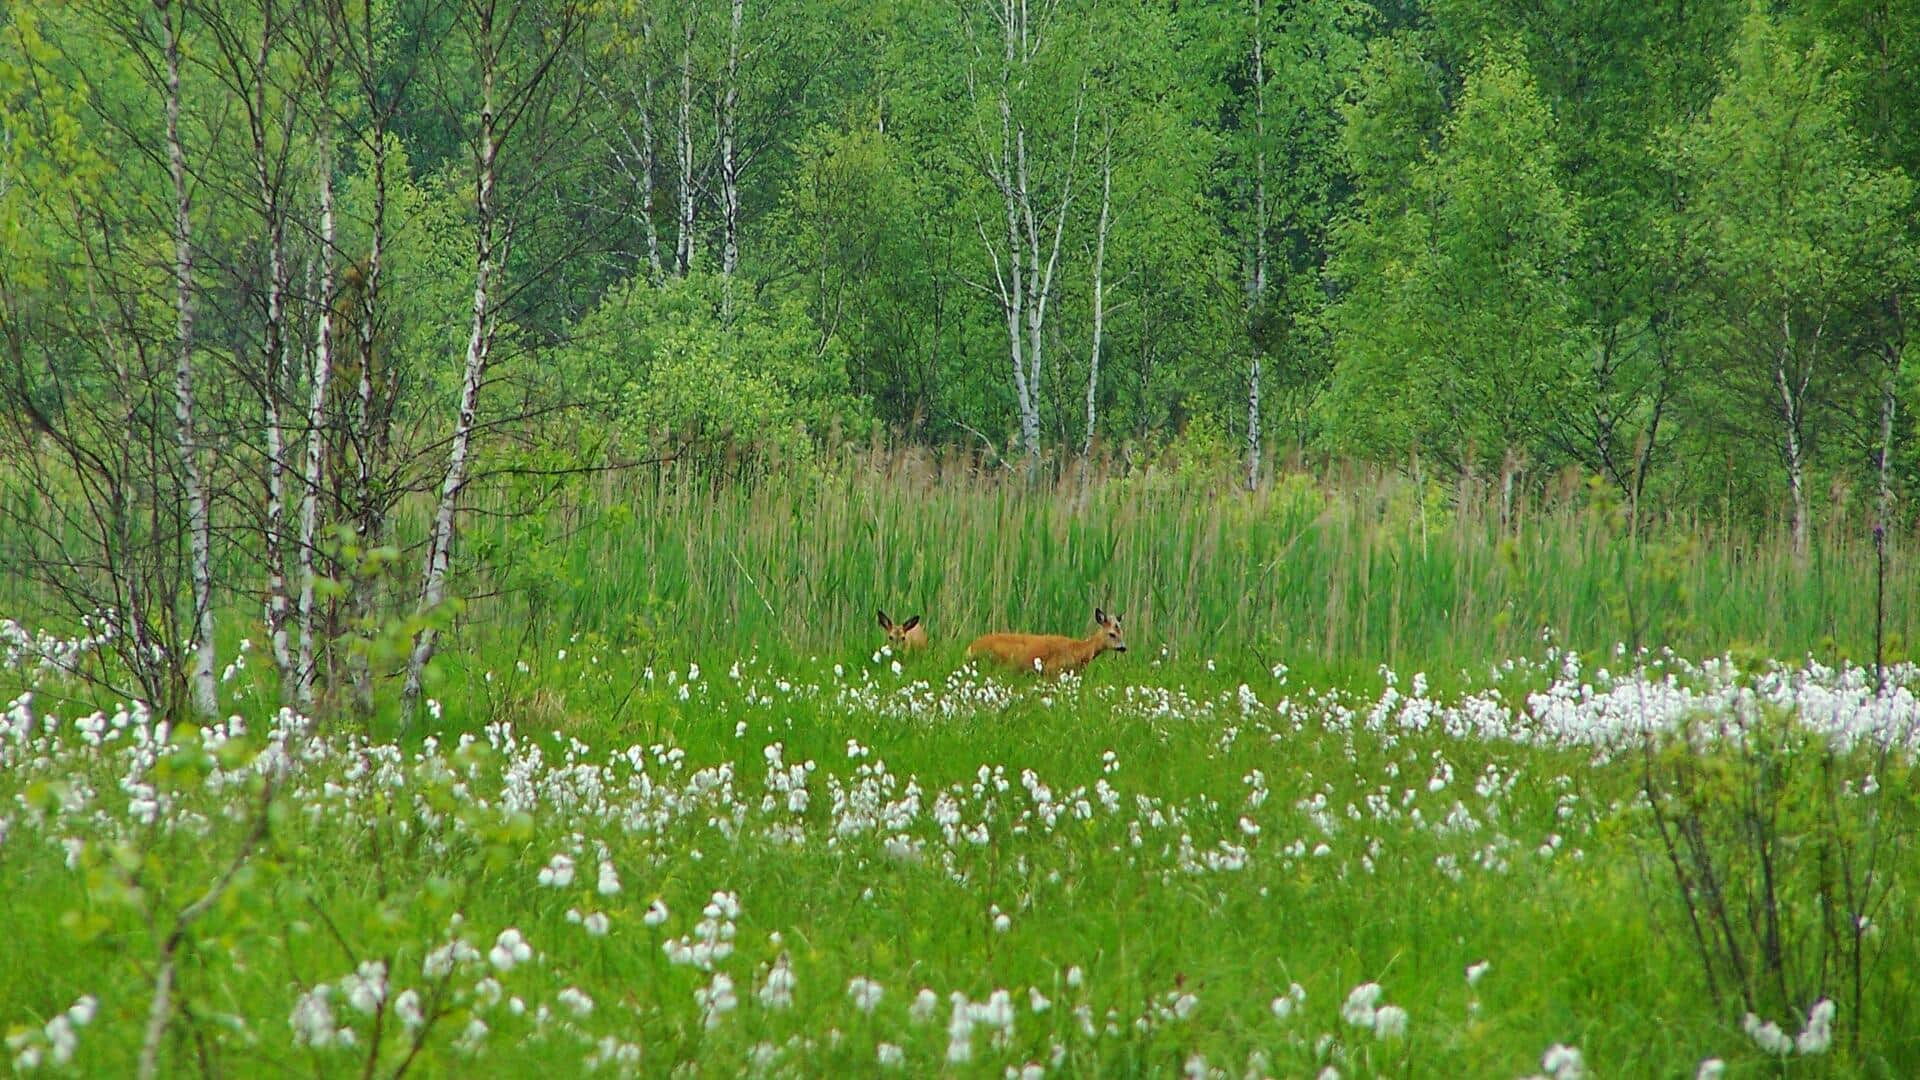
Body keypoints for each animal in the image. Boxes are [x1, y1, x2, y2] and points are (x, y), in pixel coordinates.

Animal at [967, 607, 1121, 672]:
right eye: (1112, 634)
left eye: (1122, 633)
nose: (1123, 647)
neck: (1080, 650)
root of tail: (970, 649)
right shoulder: (1052, 669)